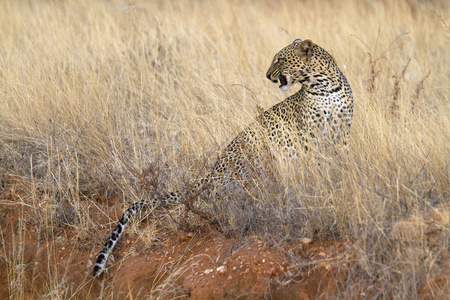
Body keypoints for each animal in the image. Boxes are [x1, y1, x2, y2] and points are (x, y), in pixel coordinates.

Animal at [93, 39, 354, 276]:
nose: (267, 75)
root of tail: (213, 171)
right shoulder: (309, 137)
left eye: (280, 59)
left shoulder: (342, 134)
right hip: (248, 160)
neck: (324, 86)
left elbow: (340, 163)